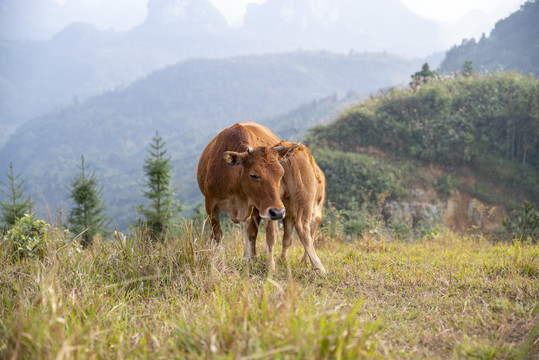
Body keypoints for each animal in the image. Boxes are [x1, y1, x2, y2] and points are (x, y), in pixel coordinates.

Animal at [197, 121, 300, 270]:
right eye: (254, 175)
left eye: (281, 173)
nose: (278, 212)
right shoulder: (210, 204)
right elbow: (217, 235)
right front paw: (214, 262)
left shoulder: (256, 206)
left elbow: (251, 233)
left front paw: (252, 259)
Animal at [278, 141, 330, 272]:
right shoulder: (317, 215)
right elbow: (312, 235)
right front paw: (305, 262)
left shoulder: (288, 214)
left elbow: (287, 239)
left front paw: (282, 260)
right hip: (305, 199)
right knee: (302, 227)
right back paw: (319, 267)